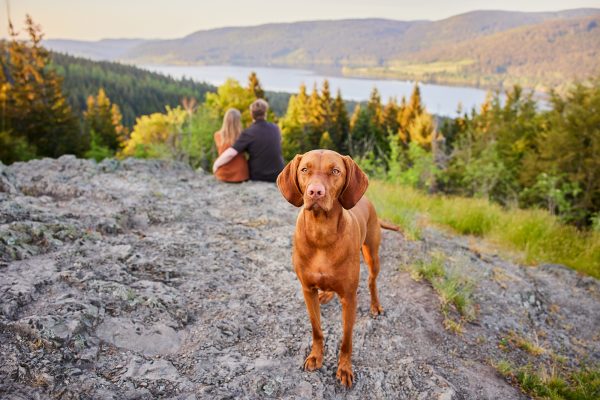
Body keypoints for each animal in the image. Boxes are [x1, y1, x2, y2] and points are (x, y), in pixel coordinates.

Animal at [276, 149, 390, 388]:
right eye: (305, 169)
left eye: (335, 171)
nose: (315, 192)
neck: (321, 233)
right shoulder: (307, 290)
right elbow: (316, 329)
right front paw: (315, 356)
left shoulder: (349, 298)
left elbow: (346, 340)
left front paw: (344, 368)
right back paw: (327, 294)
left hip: (372, 255)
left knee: (372, 281)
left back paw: (375, 305)